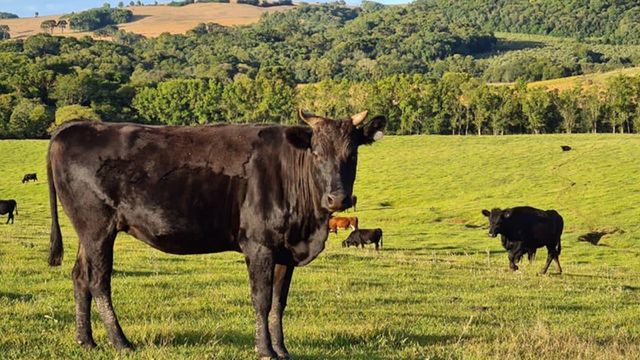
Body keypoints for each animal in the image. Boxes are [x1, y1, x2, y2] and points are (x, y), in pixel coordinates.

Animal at [47, 109, 388, 358]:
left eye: (352, 153)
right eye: (316, 152)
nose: (338, 199)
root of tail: (75, 126)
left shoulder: (285, 251)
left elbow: (279, 302)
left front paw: (282, 349)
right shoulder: (259, 245)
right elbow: (262, 299)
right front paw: (265, 350)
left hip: (87, 232)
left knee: (80, 276)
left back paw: (86, 340)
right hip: (97, 227)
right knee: (98, 280)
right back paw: (120, 342)